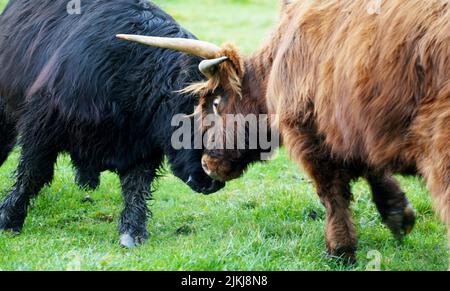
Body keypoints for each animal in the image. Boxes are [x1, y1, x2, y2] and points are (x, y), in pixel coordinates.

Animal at [0, 0, 224, 249]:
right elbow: (33, 172)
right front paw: (9, 220)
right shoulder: (42, 125)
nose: (213, 182)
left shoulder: (143, 145)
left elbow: (137, 185)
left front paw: (132, 233)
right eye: (203, 110)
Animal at [118, 0, 448, 266]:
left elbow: (332, 192)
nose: (207, 166)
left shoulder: (307, 131)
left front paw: (340, 251)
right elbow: (368, 166)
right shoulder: (348, 123)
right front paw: (398, 214)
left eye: (215, 101)